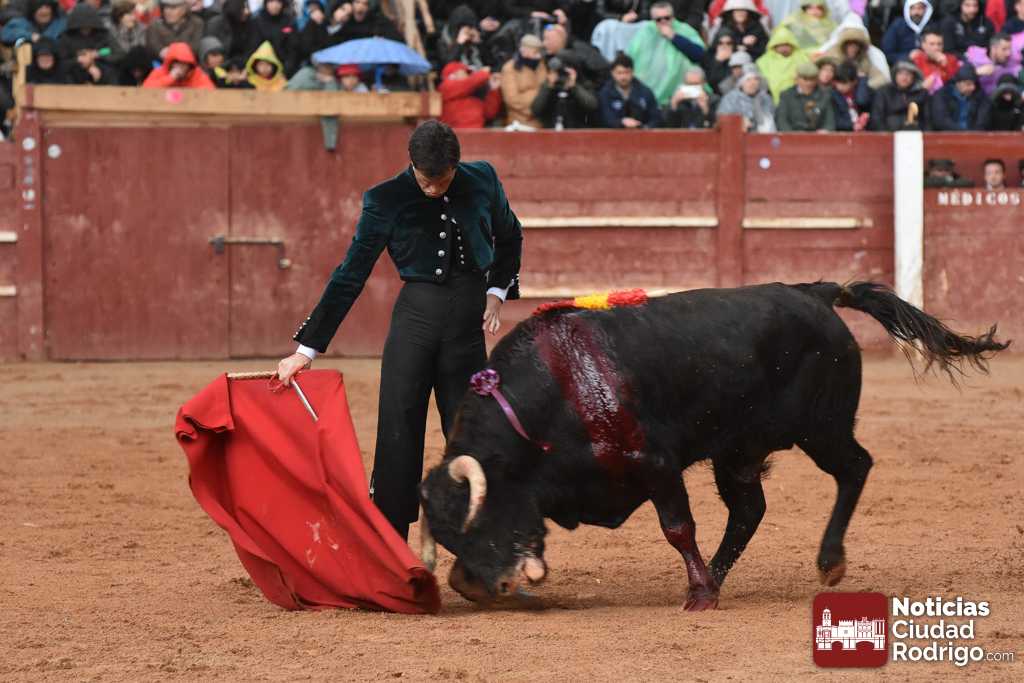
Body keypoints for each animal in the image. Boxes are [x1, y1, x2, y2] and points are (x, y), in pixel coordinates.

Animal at [417, 282, 1009, 610]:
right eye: (446, 536)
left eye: (477, 518)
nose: (483, 587)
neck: (556, 391)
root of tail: (813, 293)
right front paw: (703, 587)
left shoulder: (656, 465)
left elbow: (677, 527)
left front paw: (698, 594)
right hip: (738, 452)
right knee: (749, 509)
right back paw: (720, 579)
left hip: (821, 429)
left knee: (855, 467)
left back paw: (824, 562)